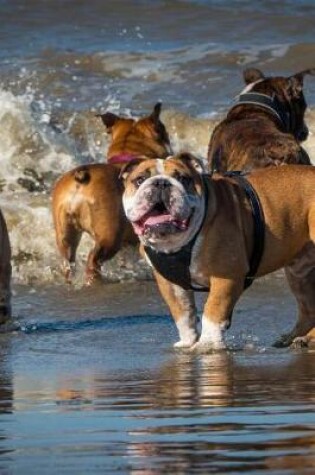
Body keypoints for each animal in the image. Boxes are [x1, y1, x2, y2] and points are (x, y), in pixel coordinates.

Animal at [121, 154, 315, 352]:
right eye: (139, 180)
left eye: (183, 178)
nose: (161, 183)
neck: (176, 243)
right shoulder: (170, 284)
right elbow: (182, 313)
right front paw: (188, 341)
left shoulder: (227, 276)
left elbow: (213, 310)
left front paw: (207, 344)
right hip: (299, 274)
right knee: (307, 308)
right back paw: (292, 338)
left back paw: (307, 339)